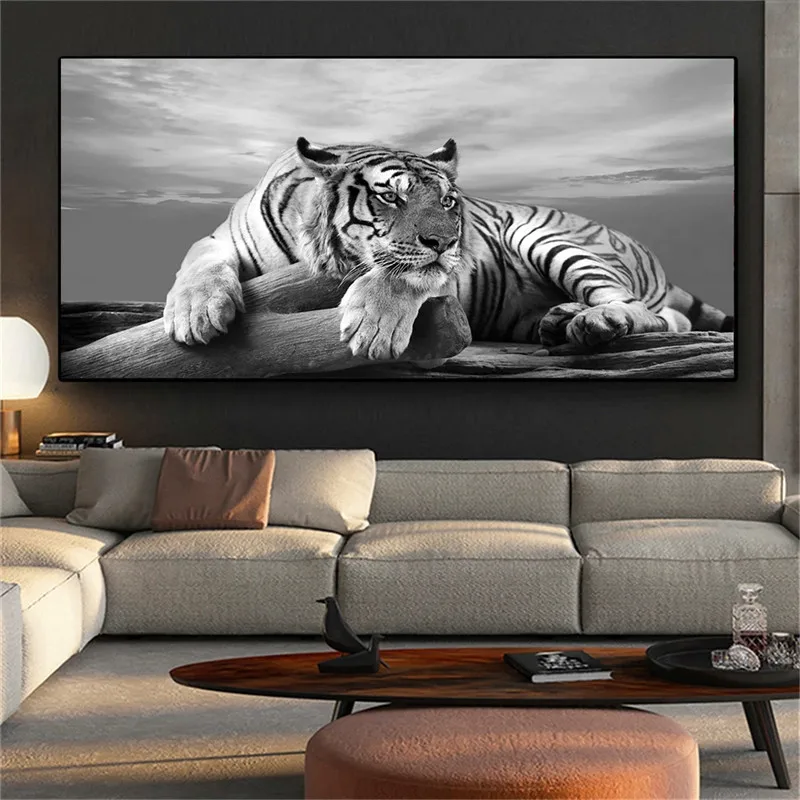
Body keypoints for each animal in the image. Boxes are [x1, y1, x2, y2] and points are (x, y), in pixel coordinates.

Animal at [164, 137, 734, 361]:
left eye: (447, 201)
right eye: (389, 195)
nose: (444, 240)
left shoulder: (445, 268)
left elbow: (400, 274)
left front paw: (373, 328)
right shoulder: (219, 239)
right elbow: (198, 262)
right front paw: (195, 314)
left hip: (547, 237)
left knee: (650, 313)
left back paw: (595, 322)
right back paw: (561, 320)